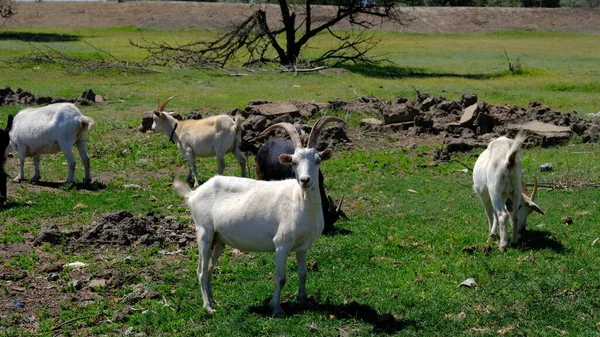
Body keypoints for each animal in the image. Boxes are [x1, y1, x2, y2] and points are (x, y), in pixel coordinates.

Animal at [171, 115, 344, 316]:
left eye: (317, 160)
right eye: (294, 162)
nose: (304, 180)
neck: (300, 202)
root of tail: (193, 194)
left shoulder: (303, 246)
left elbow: (303, 273)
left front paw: (303, 300)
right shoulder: (281, 244)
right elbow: (281, 278)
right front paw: (276, 308)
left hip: (218, 239)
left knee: (209, 268)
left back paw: (213, 301)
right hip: (204, 233)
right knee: (200, 270)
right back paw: (208, 307)